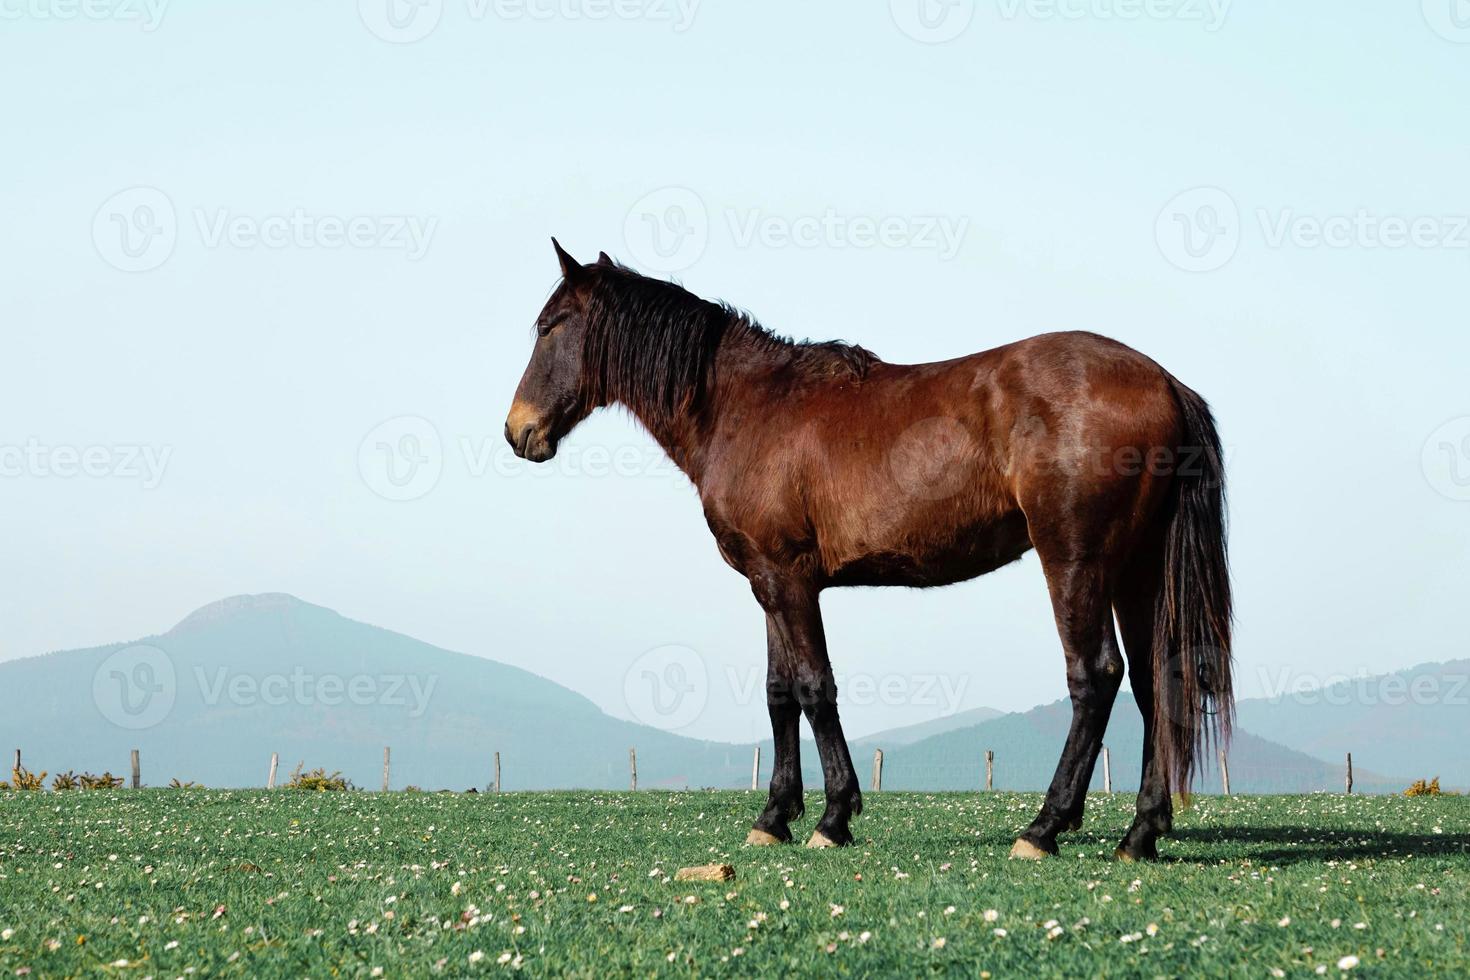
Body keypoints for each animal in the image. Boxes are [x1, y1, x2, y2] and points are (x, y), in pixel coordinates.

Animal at [505, 240, 1228, 863]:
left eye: (550, 326)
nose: (519, 431)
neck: (745, 408)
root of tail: (1164, 383)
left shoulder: (788, 581)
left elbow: (814, 687)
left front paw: (832, 818)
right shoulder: (768, 583)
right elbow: (778, 693)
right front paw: (774, 818)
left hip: (1077, 562)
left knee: (1096, 677)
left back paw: (1044, 828)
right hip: (1137, 571)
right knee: (1157, 681)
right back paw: (1141, 832)